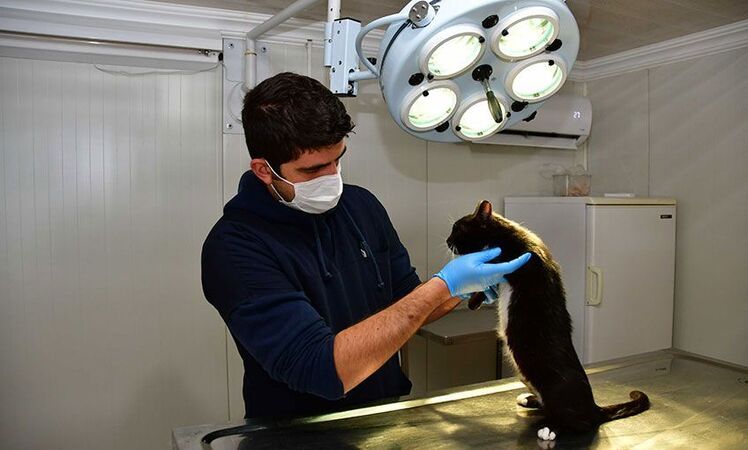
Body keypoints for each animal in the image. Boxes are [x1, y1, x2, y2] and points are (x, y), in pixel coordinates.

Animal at [444, 200, 648, 440]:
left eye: (458, 228)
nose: (447, 240)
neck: (504, 236)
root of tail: (593, 407)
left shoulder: (527, 262)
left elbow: (502, 265)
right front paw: (475, 299)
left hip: (555, 391)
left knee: (581, 423)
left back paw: (552, 429)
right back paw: (529, 399)